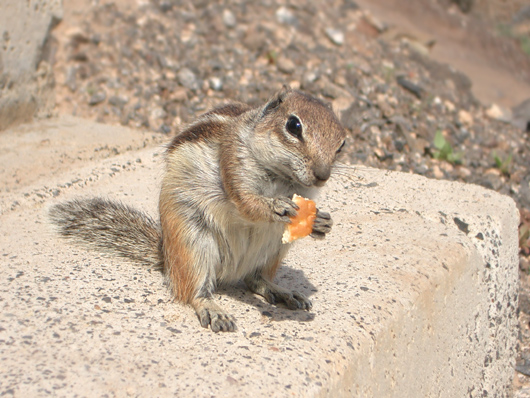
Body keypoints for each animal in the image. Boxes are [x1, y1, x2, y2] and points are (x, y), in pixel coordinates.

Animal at [50, 87, 346, 332]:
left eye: (342, 144)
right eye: (293, 126)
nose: (322, 176)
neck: (282, 178)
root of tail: (166, 255)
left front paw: (321, 222)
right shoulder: (233, 162)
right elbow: (246, 202)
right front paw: (276, 207)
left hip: (274, 251)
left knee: (255, 280)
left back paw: (283, 292)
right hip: (192, 242)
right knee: (194, 291)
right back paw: (213, 309)